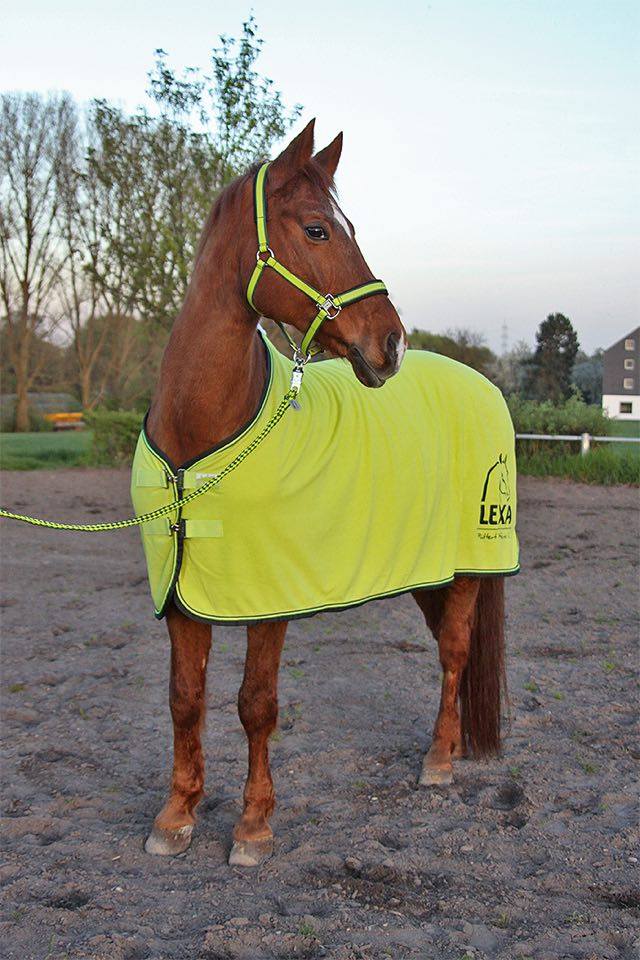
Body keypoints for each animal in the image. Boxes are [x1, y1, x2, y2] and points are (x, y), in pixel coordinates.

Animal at [141, 119, 515, 867]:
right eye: (317, 230)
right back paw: (451, 746)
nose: (390, 343)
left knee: (456, 651)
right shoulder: (182, 594)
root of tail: (482, 384)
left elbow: (256, 703)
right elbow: (185, 697)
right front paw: (177, 816)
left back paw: (438, 762)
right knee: (445, 645)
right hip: (427, 569)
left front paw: (253, 828)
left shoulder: (269, 597)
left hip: (469, 564)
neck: (202, 439)